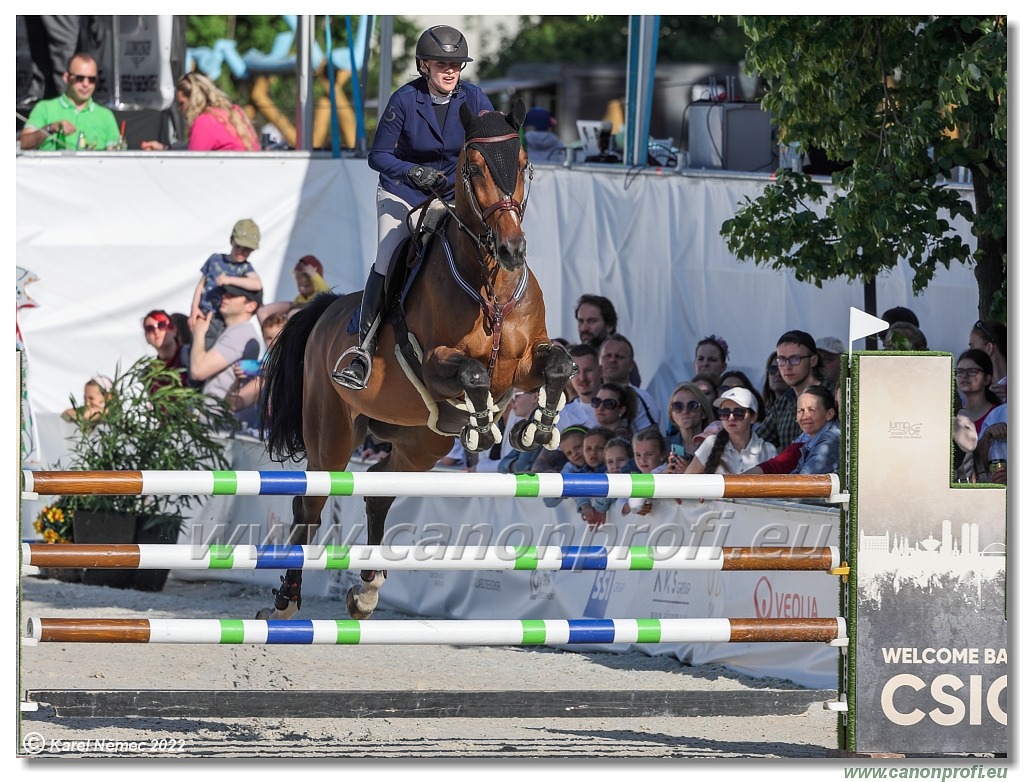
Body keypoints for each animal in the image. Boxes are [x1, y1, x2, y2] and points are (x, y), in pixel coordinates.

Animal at [256, 100, 577, 618]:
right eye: (473, 168)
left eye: (524, 164)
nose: (512, 249)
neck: (490, 281)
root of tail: (327, 311)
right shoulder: (436, 365)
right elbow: (473, 372)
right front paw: (485, 425)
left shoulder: (524, 363)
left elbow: (558, 365)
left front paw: (537, 429)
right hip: (333, 433)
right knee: (312, 504)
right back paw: (286, 600)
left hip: (421, 442)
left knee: (378, 490)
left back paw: (366, 590)